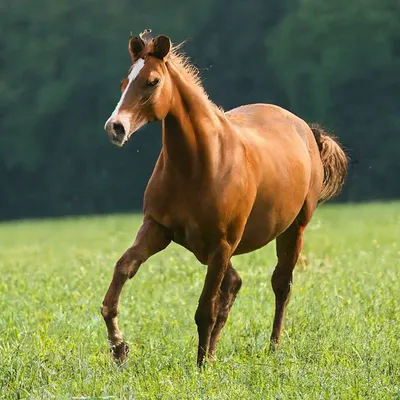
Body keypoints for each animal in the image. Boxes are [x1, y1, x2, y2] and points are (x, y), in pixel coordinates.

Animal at [101, 28, 348, 366]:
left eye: (152, 81)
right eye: (124, 82)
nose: (116, 127)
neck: (200, 164)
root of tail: (306, 130)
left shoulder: (221, 245)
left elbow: (205, 310)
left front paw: (201, 367)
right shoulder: (158, 229)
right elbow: (122, 271)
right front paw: (118, 346)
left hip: (291, 231)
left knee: (280, 285)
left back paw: (272, 348)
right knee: (233, 286)